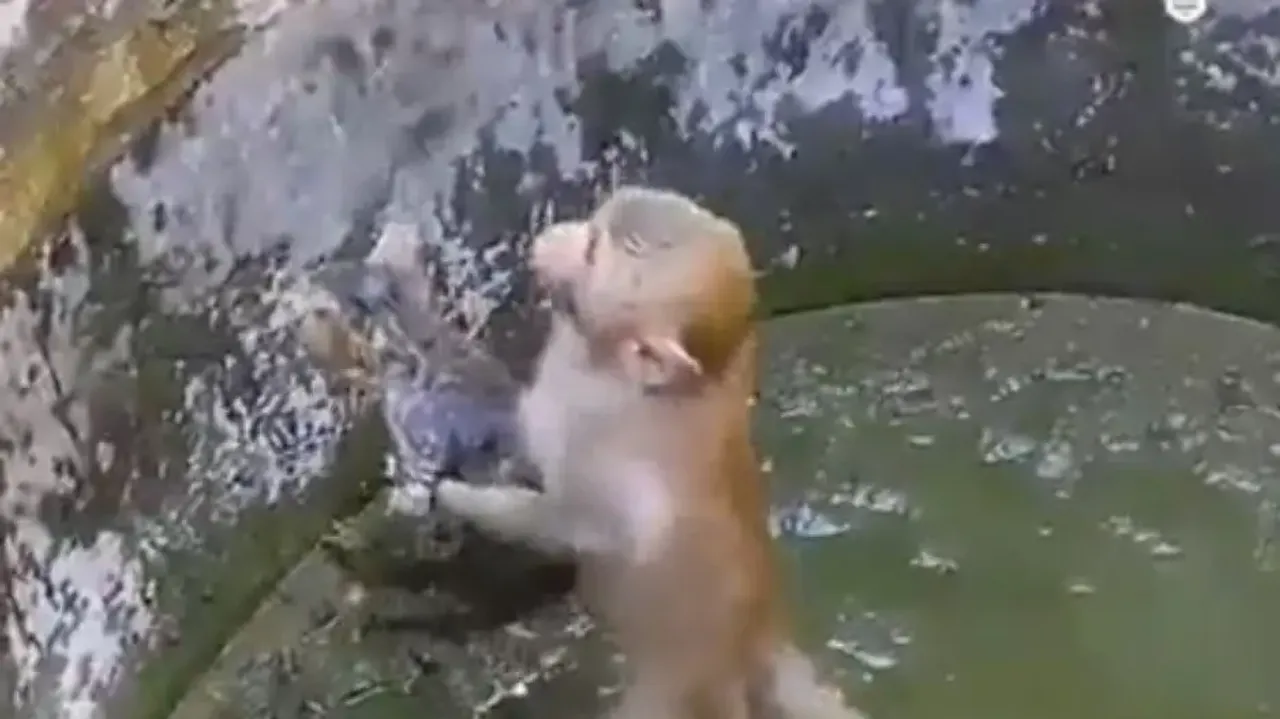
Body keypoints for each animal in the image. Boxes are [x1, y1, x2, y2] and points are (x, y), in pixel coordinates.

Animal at [432, 186, 867, 719]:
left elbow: (564, 522)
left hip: (680, 684)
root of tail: (754, 640)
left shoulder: (593, 443)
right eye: (593, 225)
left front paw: (459, 495)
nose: (554, 233)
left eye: (592, 250)